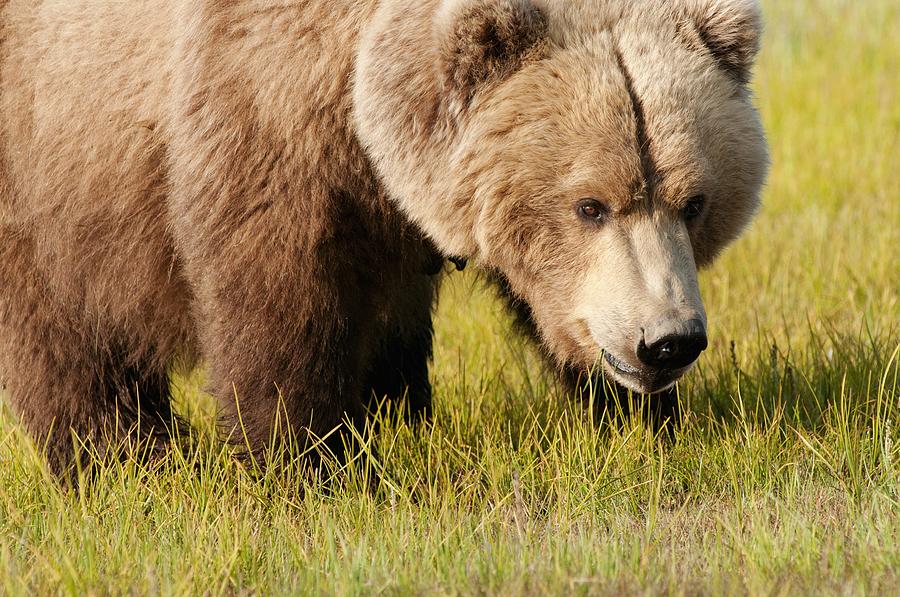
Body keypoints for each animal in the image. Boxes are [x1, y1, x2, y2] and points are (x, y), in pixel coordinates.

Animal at [1, 1, 772, 474]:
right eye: (590, 205)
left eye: (693, 201)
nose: (666, 342)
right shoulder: (263, 111)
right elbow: (279, 301)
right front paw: (311, 462)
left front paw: (643, 424)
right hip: (50, 156)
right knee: (65, 336)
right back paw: (126, 462)